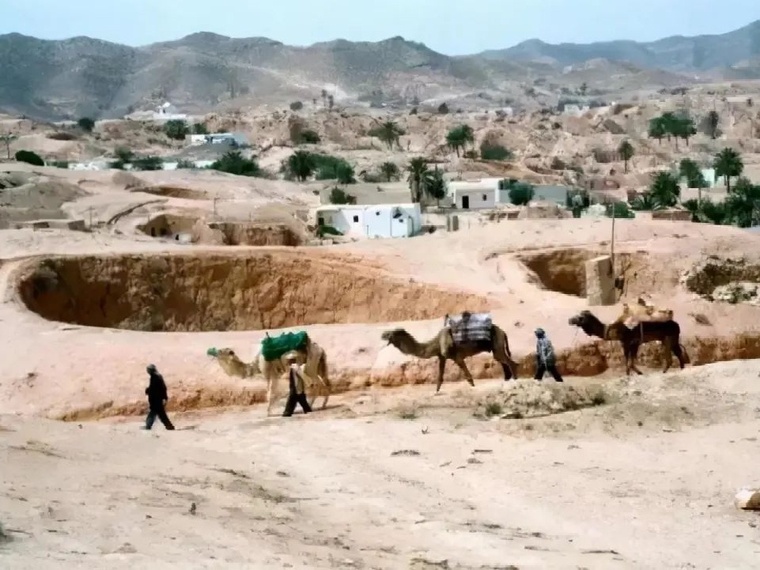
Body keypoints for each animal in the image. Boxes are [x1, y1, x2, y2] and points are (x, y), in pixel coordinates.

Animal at [378, 310, 516, 390]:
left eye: (391, 334)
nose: (382, 334)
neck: (436, 343)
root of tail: (503, 332)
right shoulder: (442, 356)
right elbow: (440, 377)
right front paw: (436, 391)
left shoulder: (456, 356)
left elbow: (468, 376)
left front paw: (473, 386)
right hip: (497, 347)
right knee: (503, 361)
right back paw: (507, 380)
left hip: (497, 344)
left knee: (510, 362)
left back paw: (514, 380)